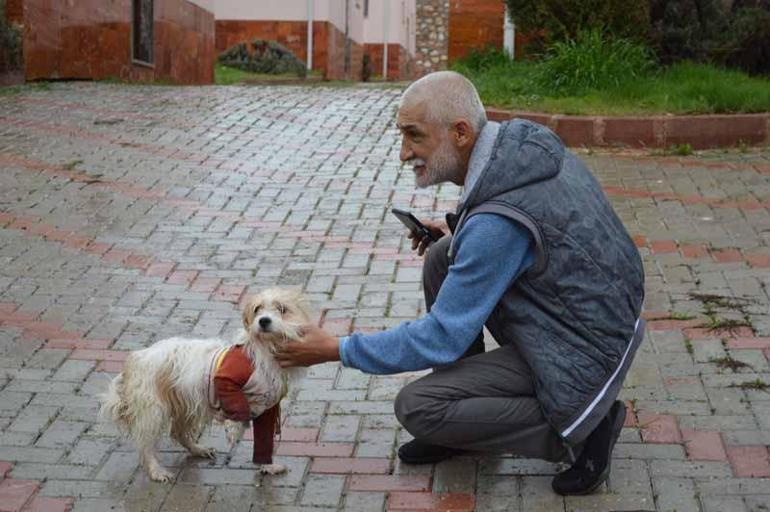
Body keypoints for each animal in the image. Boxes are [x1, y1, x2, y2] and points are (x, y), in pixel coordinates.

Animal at [97, 290, 308, 482]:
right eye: (257, 309)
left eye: (282, 309)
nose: (263, 321)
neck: (264, 351)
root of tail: (136, 359)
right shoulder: (226, 380)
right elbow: (237, 407)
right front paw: (233, 429)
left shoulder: (267, 411)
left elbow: (264, 443)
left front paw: (268, 466)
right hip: (154, 411)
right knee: (146, 445)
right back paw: (156, 470)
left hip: (186, 405)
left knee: (177, 432)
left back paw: (198, 449)